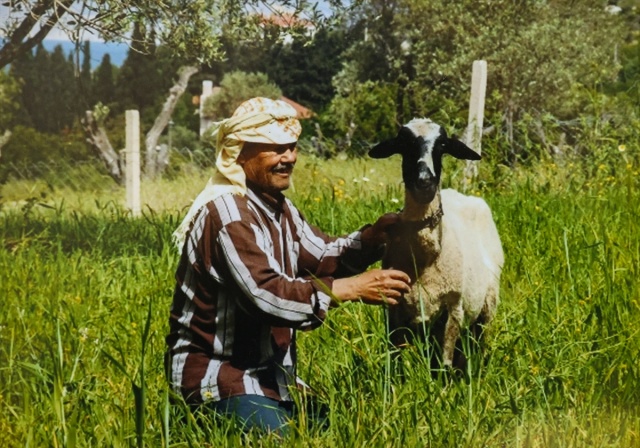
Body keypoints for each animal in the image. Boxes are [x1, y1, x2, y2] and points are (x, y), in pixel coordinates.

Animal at [370, 117, 504, 370]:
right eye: (404, 142)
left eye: (442, 145)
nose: (425, 181)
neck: (425, 256)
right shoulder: (395, 311)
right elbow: (396, 363)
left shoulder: (454, 308)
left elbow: (443, 366)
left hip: (486, 306)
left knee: (476, 344)